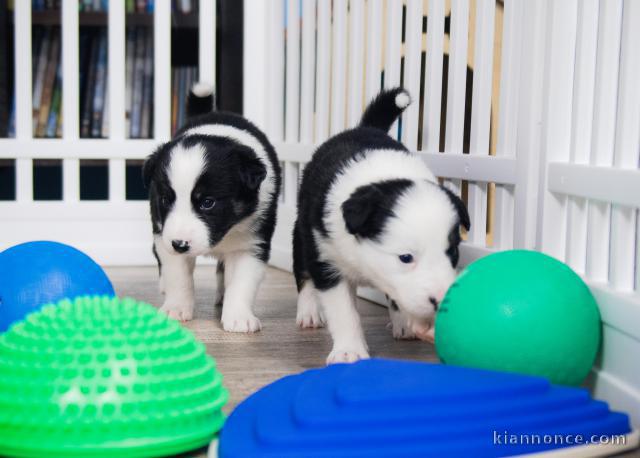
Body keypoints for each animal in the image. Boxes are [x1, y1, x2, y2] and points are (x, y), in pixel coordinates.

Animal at [145, 83, 280, 332]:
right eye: (166, 199)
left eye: (208, 203)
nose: (180, 244)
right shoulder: (163, 233)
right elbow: (177, 275)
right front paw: (175, 309)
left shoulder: (252, 243)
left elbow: (241, 282)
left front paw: (239, 318)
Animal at [292, 87, 468, 364]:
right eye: (405, 258)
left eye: (452, 252)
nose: (440, 301)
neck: (383, 177)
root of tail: (365, 127)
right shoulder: (327, 260)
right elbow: (343, 310)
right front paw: (349, 351)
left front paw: (407, 320)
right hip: (302, 236)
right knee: (303, 273)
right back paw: (309, 312)